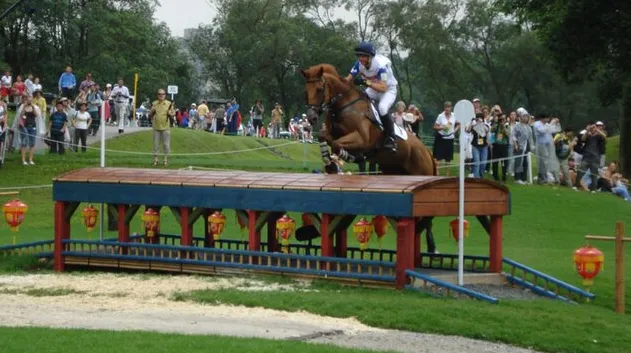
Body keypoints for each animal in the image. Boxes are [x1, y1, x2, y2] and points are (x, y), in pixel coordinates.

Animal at [302, 64, 440, 253]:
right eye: (305, 90)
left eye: (319, 89)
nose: (311, 117)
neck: (343, 105)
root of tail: (427, 151)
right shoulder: (330, 132)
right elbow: (324, 137)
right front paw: (329, 162)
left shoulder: (361, 139)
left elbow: (337, 144)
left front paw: (345, 157)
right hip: (393, 171)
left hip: (420, 173)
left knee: (427, 218)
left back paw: (432, 246)